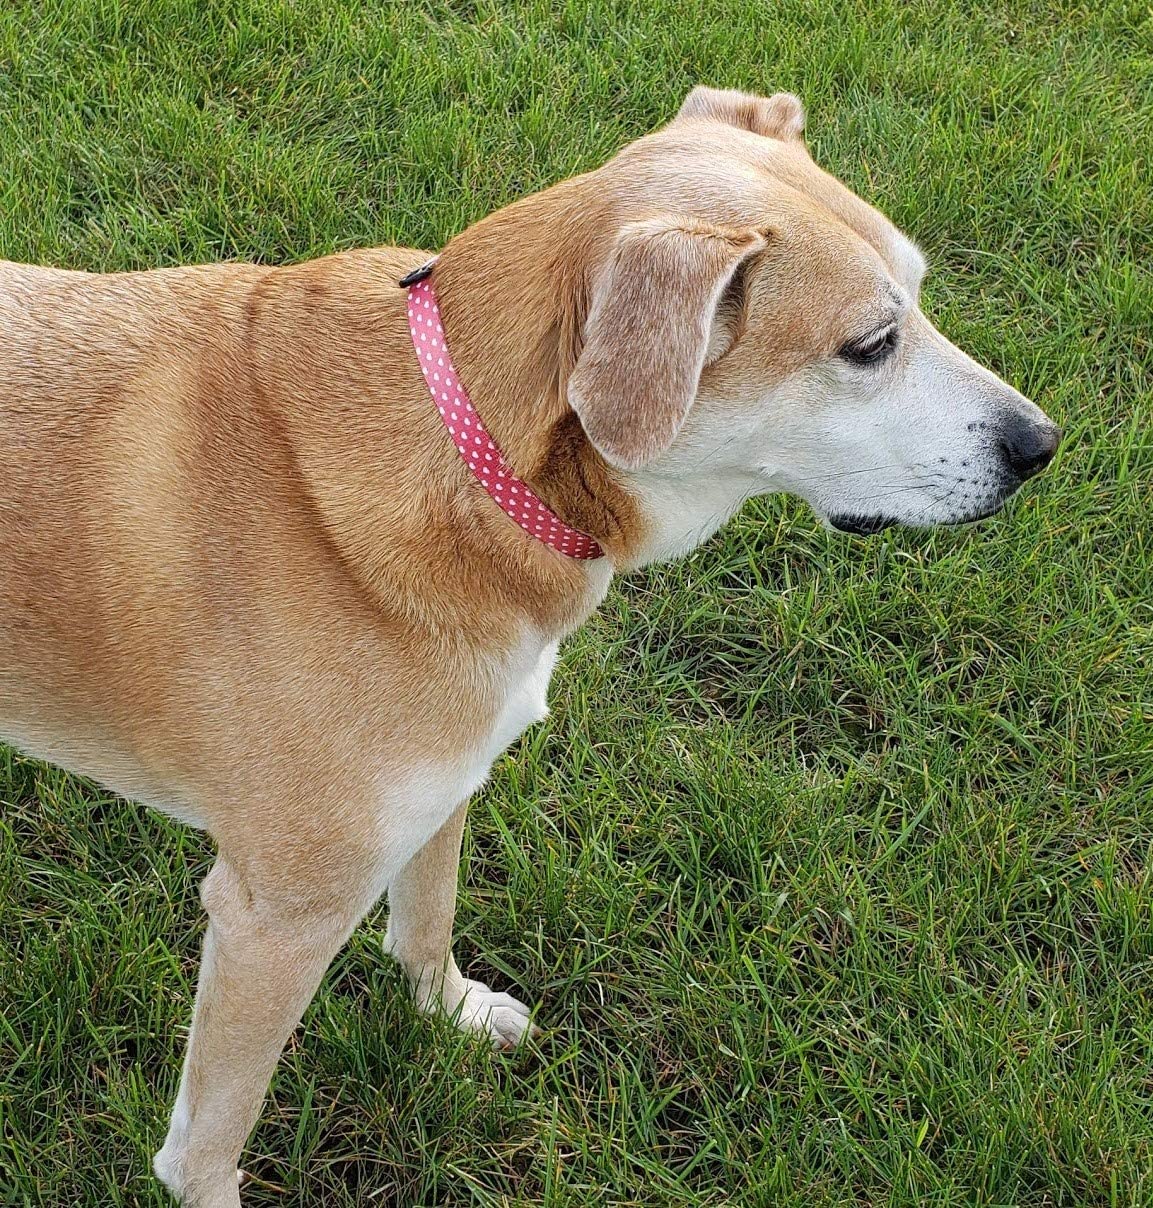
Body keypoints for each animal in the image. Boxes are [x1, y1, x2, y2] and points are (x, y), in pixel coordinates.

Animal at [0, 87, 1053, 1208]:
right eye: (869, 345)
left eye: (921, 297)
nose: (1040, 446)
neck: (473, 454)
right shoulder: (272, 918)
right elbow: (206, 1146)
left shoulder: (442, 786)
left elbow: (425, 918)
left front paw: (447, 1010)